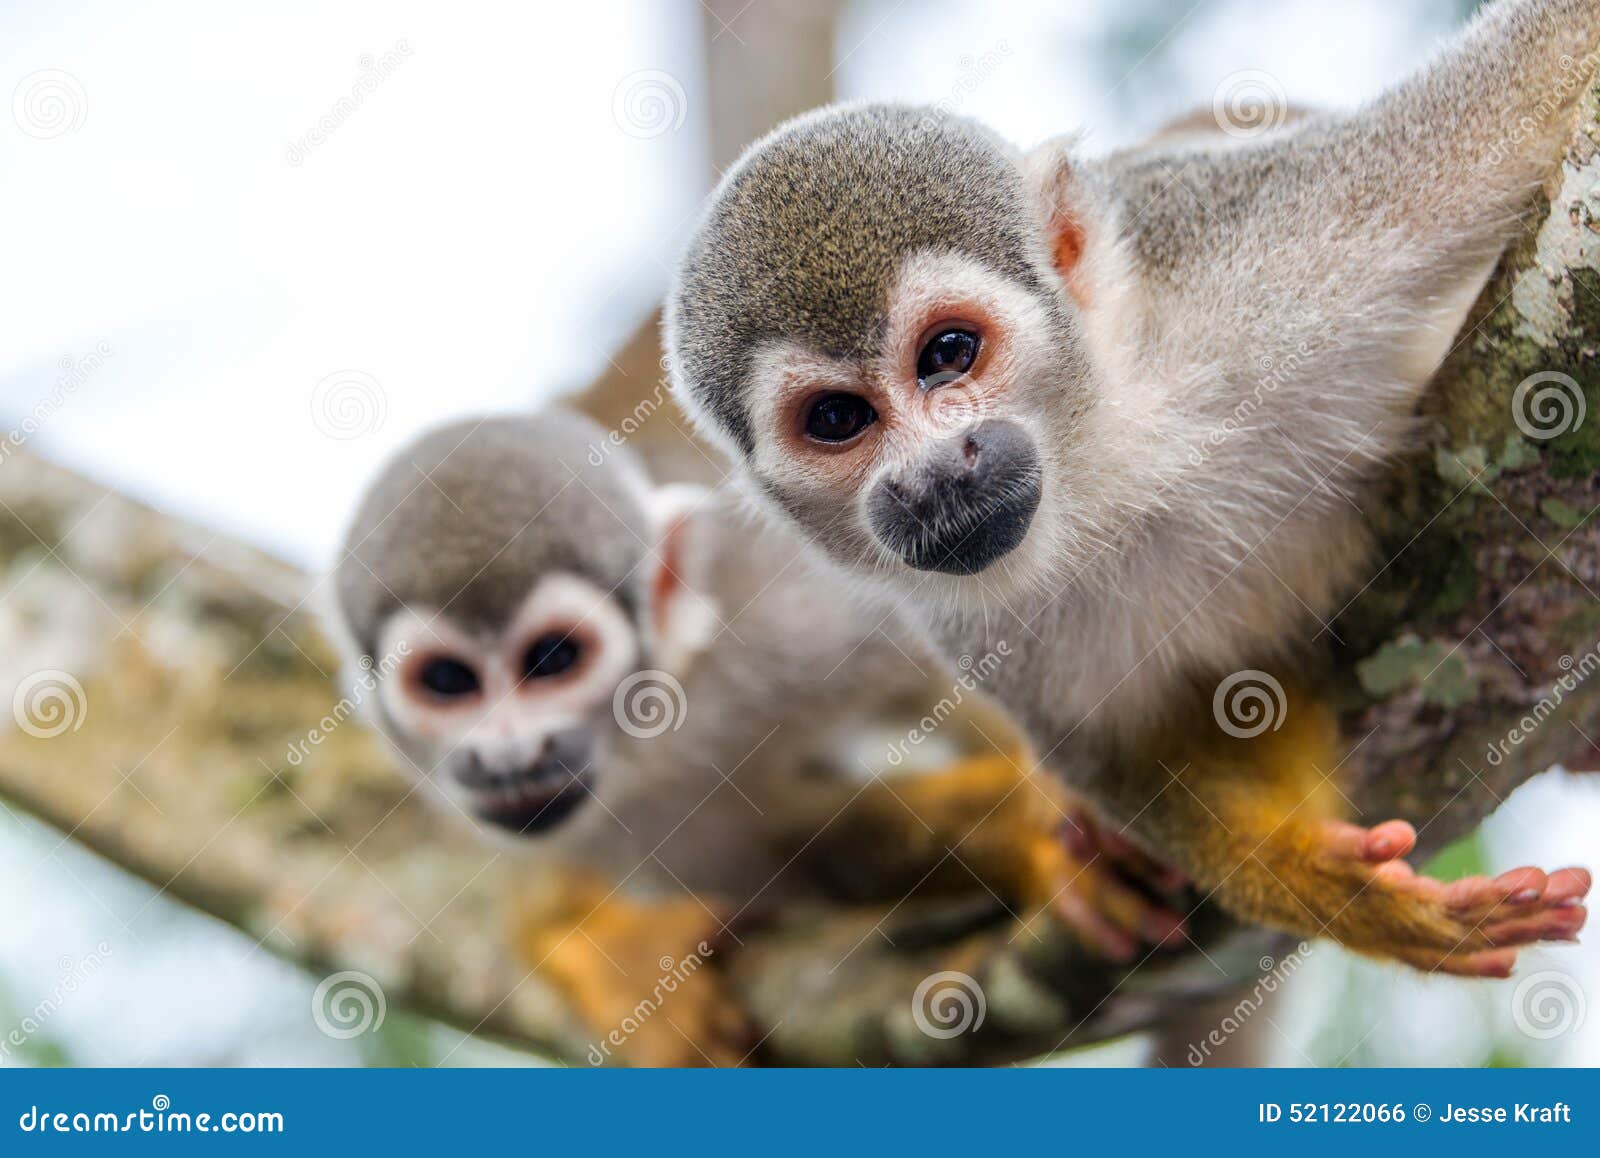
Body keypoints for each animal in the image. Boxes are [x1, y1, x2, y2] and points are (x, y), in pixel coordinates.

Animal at [324, 409, 1184, 1068]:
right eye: (448, 682)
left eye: (553, 660)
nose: (511, 754)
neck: (656, 730)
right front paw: (612, 959)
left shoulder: (785, 609)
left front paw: (1044, 830)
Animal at [662, 0, 1587, 978]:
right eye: (838, 419)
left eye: (949, 354)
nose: (931, 478)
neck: (1105, 468)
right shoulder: (966, 622)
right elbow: (1131, 754)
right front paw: (1318, 880)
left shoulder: (1261, 243)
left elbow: (1523, 87)